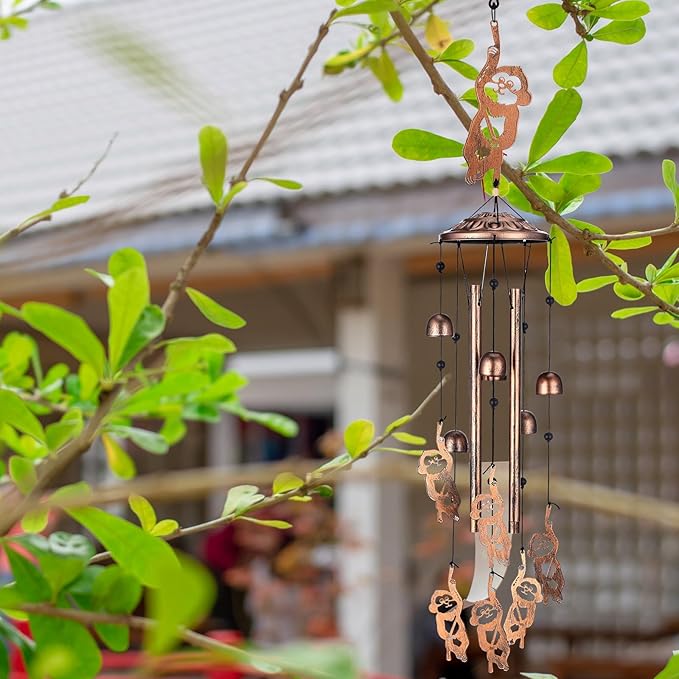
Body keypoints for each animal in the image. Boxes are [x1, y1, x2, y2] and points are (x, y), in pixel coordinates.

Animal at [463, 20, 532, 186]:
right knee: (471, 150)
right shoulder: (484, 97)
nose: (501, 87)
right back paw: (473, 169)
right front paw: (492, 54)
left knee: (492, 159)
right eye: (501, 79)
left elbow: (509, 136)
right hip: (473, 142)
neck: (500, 105)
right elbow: (479, 85)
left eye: (509, 85)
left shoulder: (514, 112)